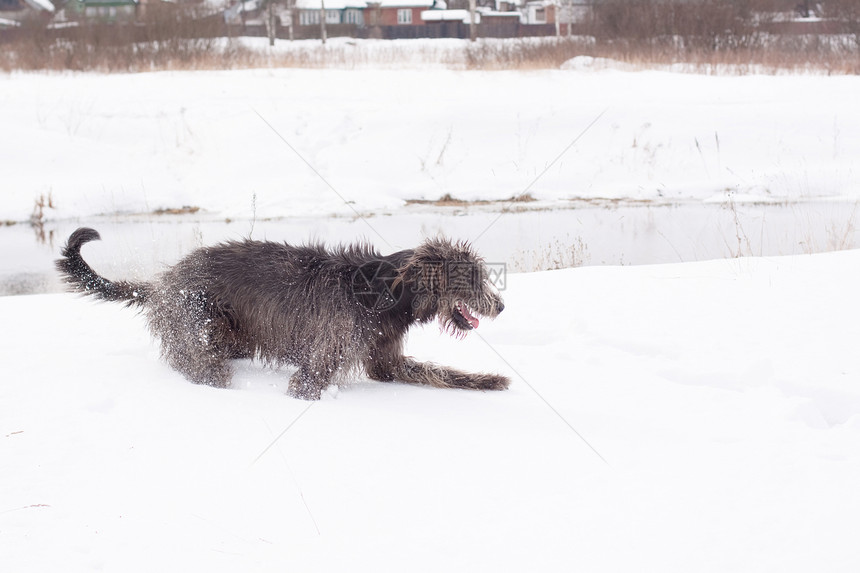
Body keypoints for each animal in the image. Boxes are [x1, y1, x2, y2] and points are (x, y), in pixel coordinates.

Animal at [57, 228, 510, 398]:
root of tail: (163, 282)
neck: (385, 293)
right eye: (472, 278)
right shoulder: (322, 357)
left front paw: (488, 380)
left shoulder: (386, 360)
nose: (502, 306)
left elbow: (438, 372)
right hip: (196, 325)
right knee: (203, 367)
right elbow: (305, 385)